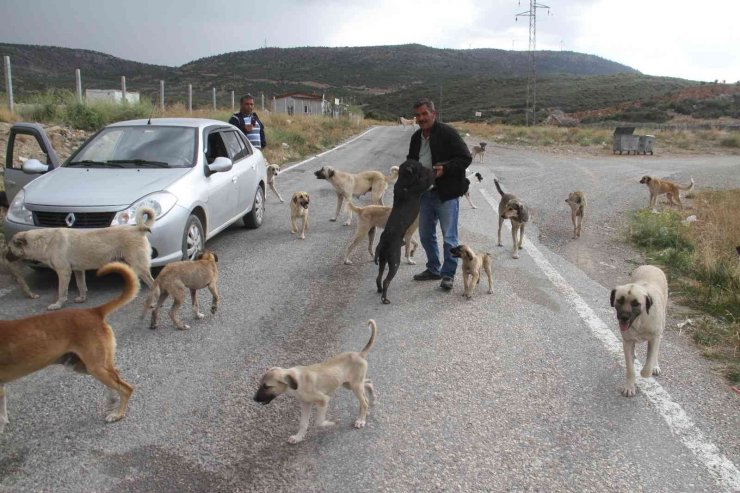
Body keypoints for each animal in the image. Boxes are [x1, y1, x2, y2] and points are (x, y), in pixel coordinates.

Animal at [0, 262, 138, 430]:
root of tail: (93, 312)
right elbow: (2, 415)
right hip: (84, 365)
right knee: (117, 375)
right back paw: (112, 401)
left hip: (94, 367)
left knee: (126, 388)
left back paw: (118, 414)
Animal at [5, 206, 157, 310]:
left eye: (10, 248)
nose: (4, 257)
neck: (44, 241)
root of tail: (138, 229)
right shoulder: (78, 271)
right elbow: (81, 285)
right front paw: (82, 298)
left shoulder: (64, 273)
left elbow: (61, 291)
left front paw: (58, 304)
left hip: (139, 267)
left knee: (153, 284)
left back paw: (153, 303)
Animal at [372, 160, 436, 302]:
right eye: (419, 166)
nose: (426, 166)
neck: (403, 180)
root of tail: (383, 244)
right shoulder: (421, 187)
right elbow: (428, 181)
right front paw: (434, 172)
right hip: (394, 262)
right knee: (386, 281)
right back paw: (385, 299)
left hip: (383, 261)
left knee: (378, 277)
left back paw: (379, 290)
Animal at [608, 266, 668, 396]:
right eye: (620, 300)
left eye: (635, 303)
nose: (624, 317)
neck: (639, 320)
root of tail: (651, 265)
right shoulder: (627, 341)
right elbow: (630, 368)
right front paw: (630, 387)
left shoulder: (654, 338)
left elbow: (649, 363)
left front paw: (645, 372)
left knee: (656, 351)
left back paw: (655, 366)